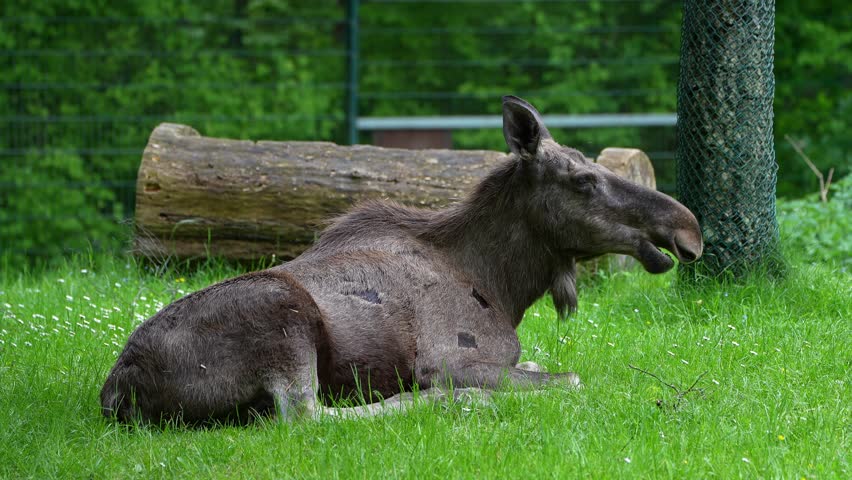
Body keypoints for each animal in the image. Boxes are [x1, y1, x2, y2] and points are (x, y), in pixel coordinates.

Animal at [101, 96, 703, 425]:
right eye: (583, 180)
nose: (687, 227)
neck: (505, 284)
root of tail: (116, 390)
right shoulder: (448, 357)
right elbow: (570, 378)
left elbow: (536, 366)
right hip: (282, 313)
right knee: (305, 415)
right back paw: (453, 402)